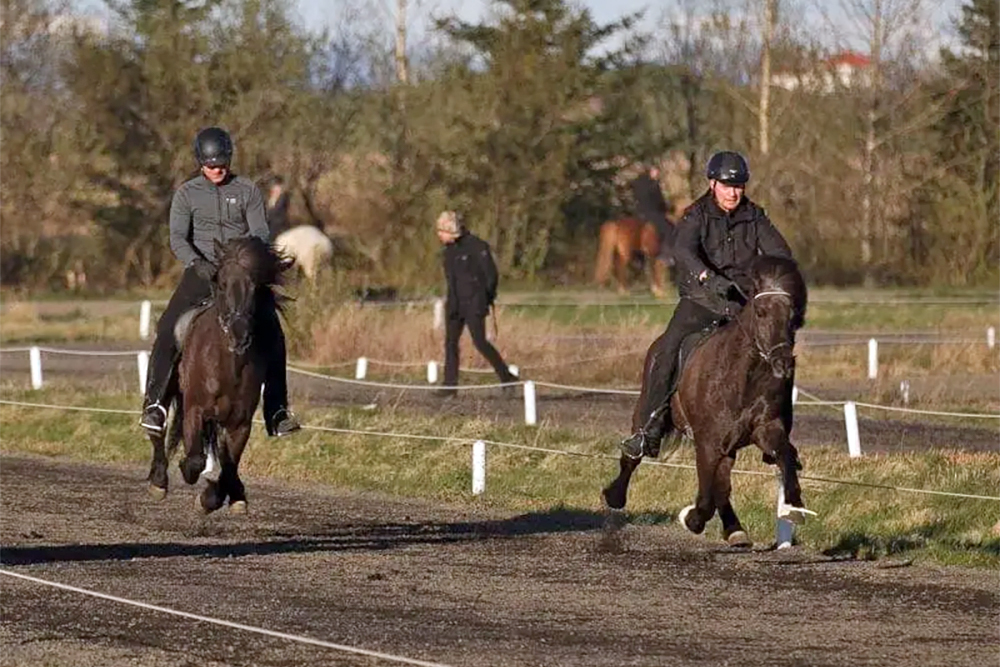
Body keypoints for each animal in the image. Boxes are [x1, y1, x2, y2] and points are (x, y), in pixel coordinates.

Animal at [145, 237, 292, 516]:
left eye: (255, 286)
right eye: (222, 285)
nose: (239, 335)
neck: (228, 365)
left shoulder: (240, 422)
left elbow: (229, 465)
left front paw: (221, 498)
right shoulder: (195, 410)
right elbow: (195, 460)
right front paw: (192, 478)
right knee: (157, 428)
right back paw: (158, 482)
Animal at [600, 256, 812, 548]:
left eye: (794, 316)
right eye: (761, 312)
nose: (783, 363)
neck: (742, 376)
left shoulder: (765, 430)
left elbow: (784, 456)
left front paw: (794, 507)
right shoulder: (708, 441)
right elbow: (708, 493)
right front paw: (691, 518)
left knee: (722, 485)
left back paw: (735, 530)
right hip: (646, 410)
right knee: (633, 456)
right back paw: (615, 496)